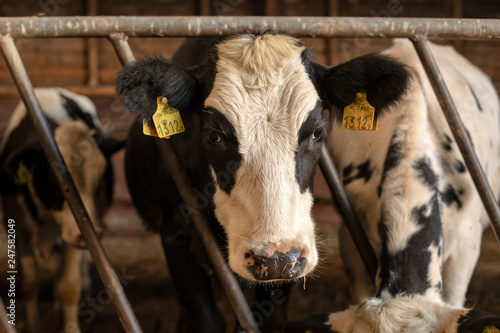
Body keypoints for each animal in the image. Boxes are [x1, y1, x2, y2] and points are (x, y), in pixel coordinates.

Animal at [0, 87, 124, 332]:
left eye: (101, 177)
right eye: (52, 177)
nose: (96, 232)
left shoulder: (77, 232)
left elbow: (68, 285)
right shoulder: (17, 225)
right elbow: (29, 282)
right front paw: (33, 325)